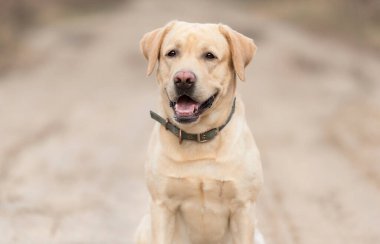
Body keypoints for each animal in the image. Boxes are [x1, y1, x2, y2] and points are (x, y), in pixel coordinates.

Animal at [136, 21, 264, 244]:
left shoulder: (244, 208)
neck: (198, 136)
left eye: (209, 56)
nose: (183, 79)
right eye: (172, 53)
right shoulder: (162, 205)